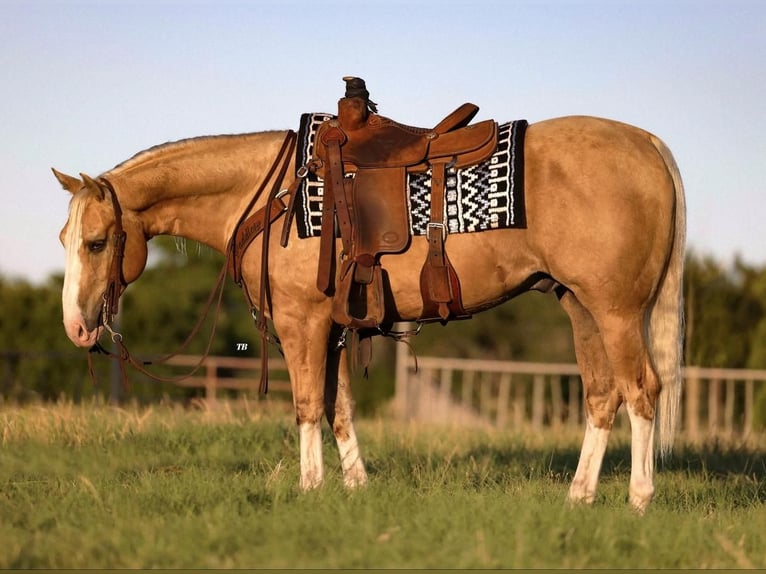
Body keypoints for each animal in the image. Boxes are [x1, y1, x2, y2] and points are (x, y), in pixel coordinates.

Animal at [55, 112, 688, 512]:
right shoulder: (336, 328)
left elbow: (308, 406)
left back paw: (639, 500)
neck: (271, 197)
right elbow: (339, 408)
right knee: (603, 395)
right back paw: (579, 497)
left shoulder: (303, 324)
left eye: (96, 243)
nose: (78, 328)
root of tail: (649, 145)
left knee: (642, 391)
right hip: (580, 306)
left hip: (616, 311)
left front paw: (311, 488)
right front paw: (355, 487)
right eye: (65, 238)